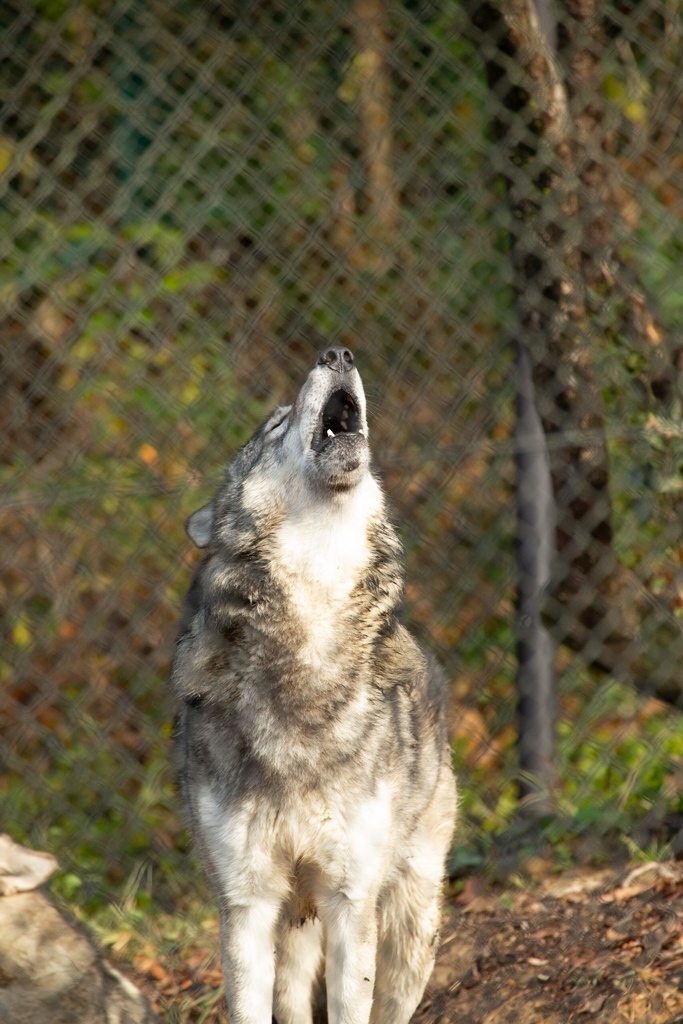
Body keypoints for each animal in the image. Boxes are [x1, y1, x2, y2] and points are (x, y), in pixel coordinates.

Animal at [171, 348, 458, 1019]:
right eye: (275, 426)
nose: (338, 354)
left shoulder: (351, 902)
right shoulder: (246, 906)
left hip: (410, 928)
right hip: (294, 927)